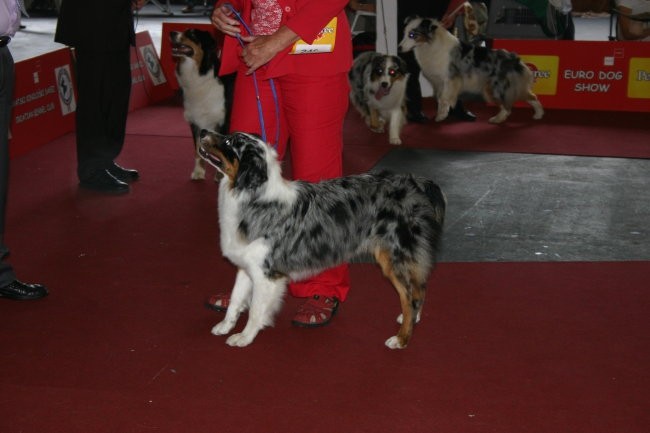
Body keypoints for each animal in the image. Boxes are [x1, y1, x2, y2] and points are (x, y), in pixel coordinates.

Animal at [171, 28, 234, 180]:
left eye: (192, 34)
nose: (171, 33)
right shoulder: (196, 122)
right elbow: (197, 150)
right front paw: (198, 172)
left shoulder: (223, 121)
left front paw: (220, 175)